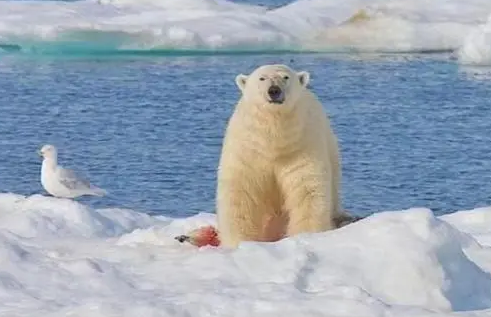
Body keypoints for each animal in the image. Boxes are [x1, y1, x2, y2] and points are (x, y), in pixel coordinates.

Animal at [217, 63, 348, 247]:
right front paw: (239, 241)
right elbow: (240, 192)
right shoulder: (248, 150)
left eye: (285, 77)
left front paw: (306, 235)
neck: (274, 142)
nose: (274, 90)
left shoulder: (301, 147)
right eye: (262, 78)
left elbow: (306, 190)